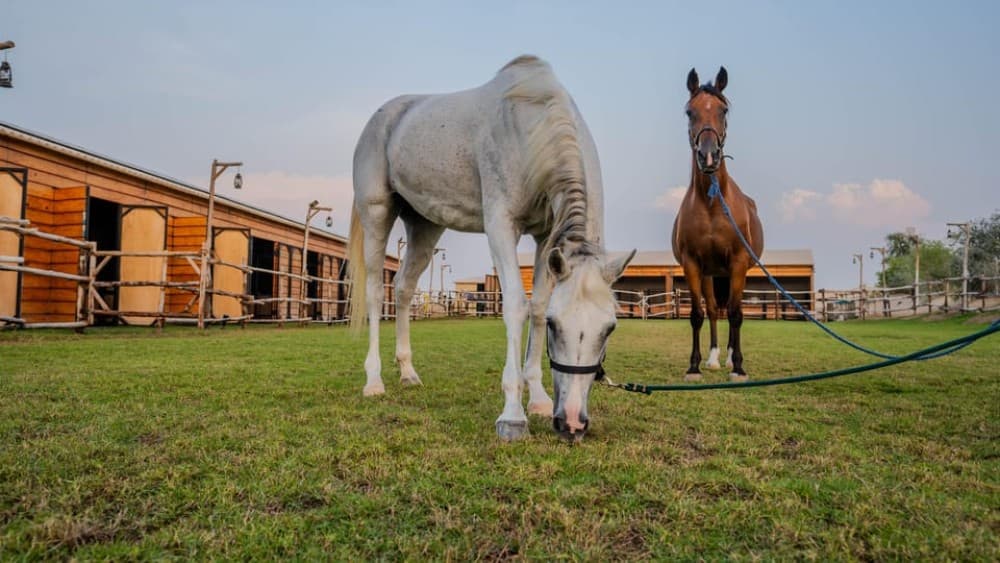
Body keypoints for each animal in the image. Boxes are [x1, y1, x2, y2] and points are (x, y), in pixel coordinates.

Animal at [347, 55, 635, 442]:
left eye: (610, 328)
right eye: (557, 326)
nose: (572, 423)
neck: (532, 125)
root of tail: (382, 117)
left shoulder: (546, 237)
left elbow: (536, 306)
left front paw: (538, 398)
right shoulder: (500, 224)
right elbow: (515, 304)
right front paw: (513, 414)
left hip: (424, 225)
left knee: (404, 288)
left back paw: (407, 372)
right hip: (376, 213)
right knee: (377, 292)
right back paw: (374, 380)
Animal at [671, 67, 764, 381]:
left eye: (724, 110)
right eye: (690, 112)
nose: (708, 155)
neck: (712, 203)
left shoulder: (738, 263)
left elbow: (736, 314)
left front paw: (738, 367)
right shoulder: (692, 265)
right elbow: (698, 314)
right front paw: (694, 366)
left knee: (732, 312)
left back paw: (730, 357)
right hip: (711, 274)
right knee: (713, 310)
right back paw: (714, 359)